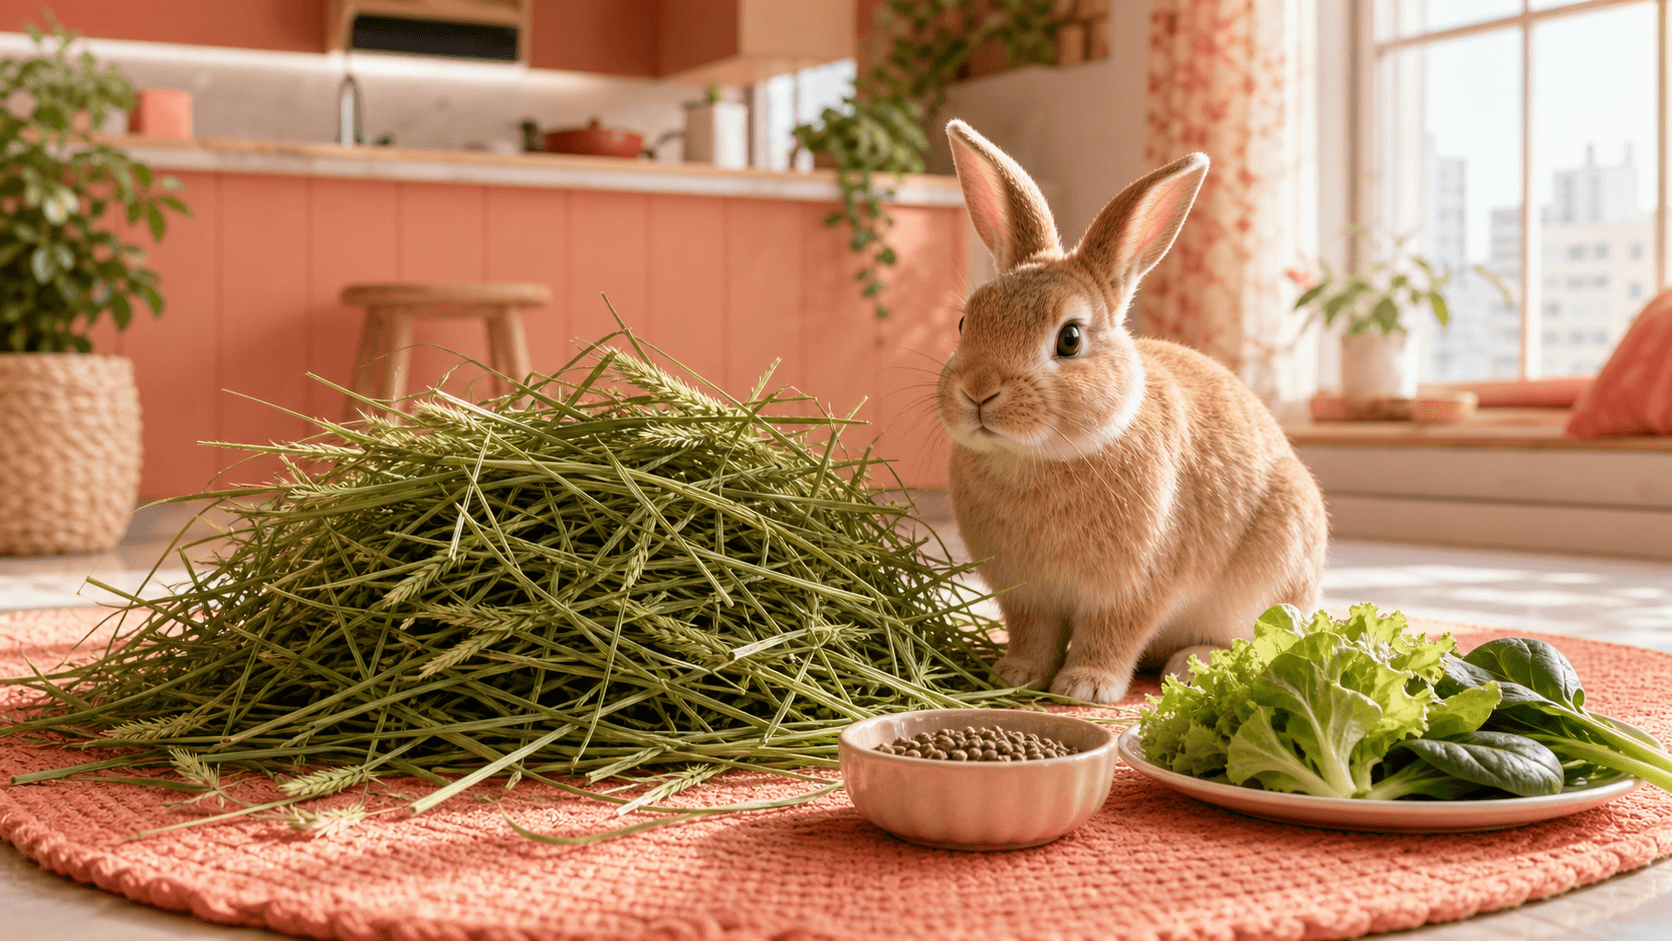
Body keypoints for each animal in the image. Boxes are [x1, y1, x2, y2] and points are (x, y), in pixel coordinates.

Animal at [935, 119, 1328, 705]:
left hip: (1268, 589)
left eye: (1070, 339)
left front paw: (1085, 688)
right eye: (966, 323)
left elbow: (1113, 635)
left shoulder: (1136, 588)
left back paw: (1192, 666)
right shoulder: (1027, 596)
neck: (1040, 459)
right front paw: (1015, 676)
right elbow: (1032, 635)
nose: (979, 390)